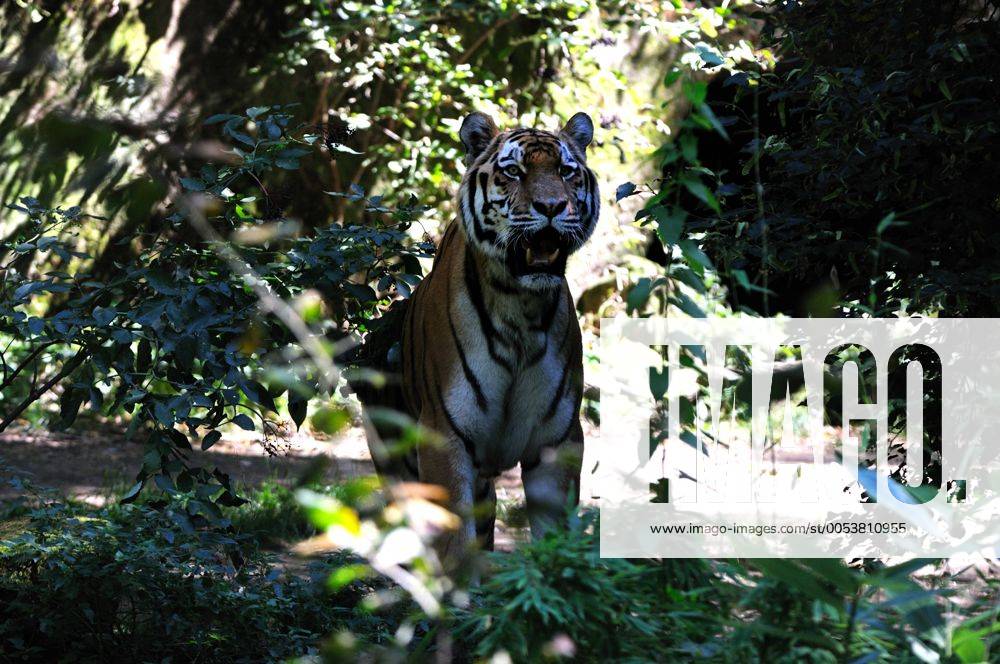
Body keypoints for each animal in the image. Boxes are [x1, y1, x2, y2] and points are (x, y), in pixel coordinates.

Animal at [362, 111, 599, 566]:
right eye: (514, 172)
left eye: (566, 172)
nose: (552, 207)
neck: (521, 307)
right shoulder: (443, 436)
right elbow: (453, 545)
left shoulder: (557, 440)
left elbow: (555, 539)